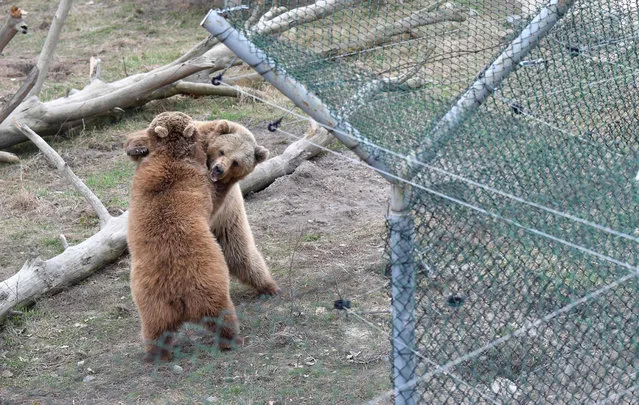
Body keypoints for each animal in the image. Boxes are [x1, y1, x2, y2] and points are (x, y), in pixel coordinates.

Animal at [126, 118, 282, 296]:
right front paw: (138, 148)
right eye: (222, 151)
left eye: (236, 162)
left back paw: (269, 286)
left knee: (241, 252)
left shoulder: (221, 198)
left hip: (229, 221)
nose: (219, 169)